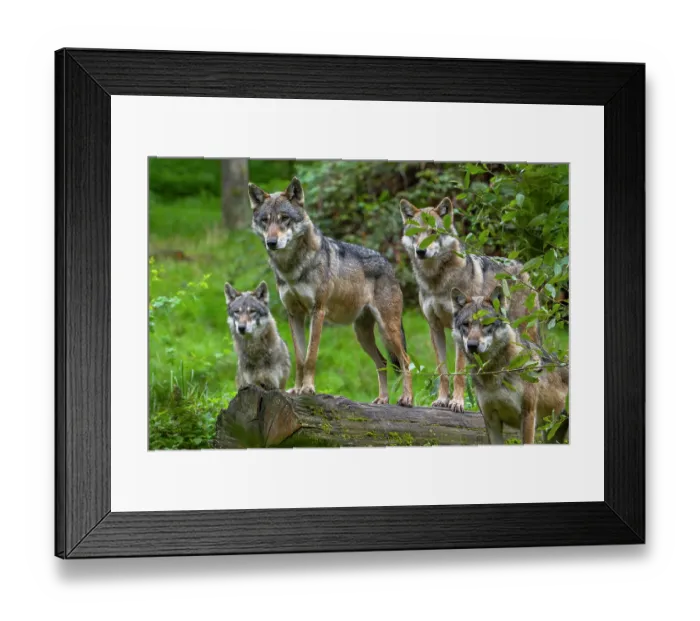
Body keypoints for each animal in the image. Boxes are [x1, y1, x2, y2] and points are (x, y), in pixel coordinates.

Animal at [248, 177, 413, 406]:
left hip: (388, 330)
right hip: (363, 335)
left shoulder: (317, 312)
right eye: (265, 220)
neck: (292, 267)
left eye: (284, 218)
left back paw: (407, 398)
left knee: (405, 360)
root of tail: (388, 264)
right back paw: (382, 399)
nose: (271, 243)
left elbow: (311, 356)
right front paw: (296, 389)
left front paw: (308, 389)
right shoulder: (294, 315)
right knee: (382, 362)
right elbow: (300, 359)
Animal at [400, 197, 538, 413]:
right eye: (416, 233)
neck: (436, 281)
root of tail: (523, 268)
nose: (420, 251)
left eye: (433, 232)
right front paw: (442, 400)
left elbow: (459, 371)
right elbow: (443, 371)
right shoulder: (435, 327)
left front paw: (457, 402)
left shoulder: (459, 332)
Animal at [451, 286, 569, 444]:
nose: (472, 345)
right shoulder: (490, 420)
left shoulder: (528, 415)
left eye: (486, 324)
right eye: (466, 324)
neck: (493, 374)